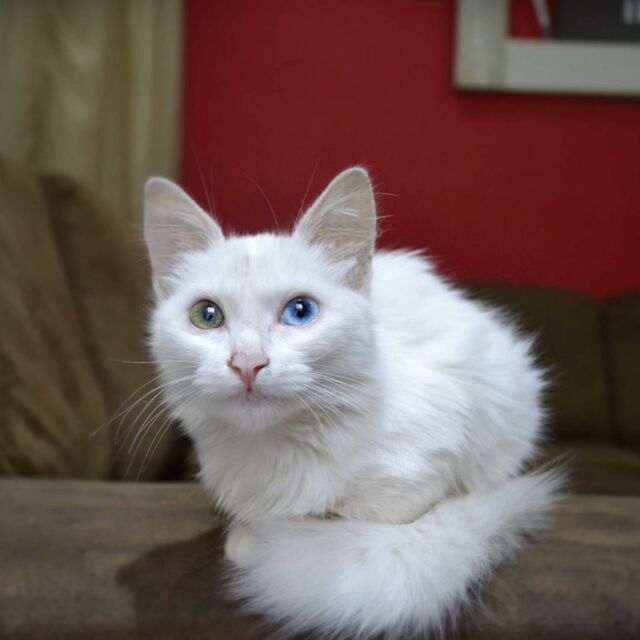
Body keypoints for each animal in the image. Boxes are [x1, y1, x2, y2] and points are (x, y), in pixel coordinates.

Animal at [143, 167, 562, 638]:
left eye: (300, 311)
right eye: (206, 315)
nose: (248, 363)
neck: (285, 446)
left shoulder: (434, 450)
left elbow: (363, 512)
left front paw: (273, 537)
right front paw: (252, 535)